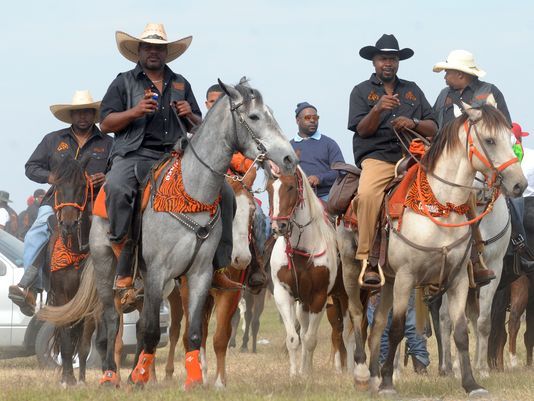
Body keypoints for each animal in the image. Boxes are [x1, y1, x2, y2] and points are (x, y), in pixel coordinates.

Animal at [270, 166, 338, 376]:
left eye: (291, 187)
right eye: (269, 188)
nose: (278, 226)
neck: (301, 250)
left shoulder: (319, 297)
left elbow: (309, 340)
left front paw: (307, 373)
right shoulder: (283, 294)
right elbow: (294, 338)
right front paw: (295, 374)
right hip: (303, 304)